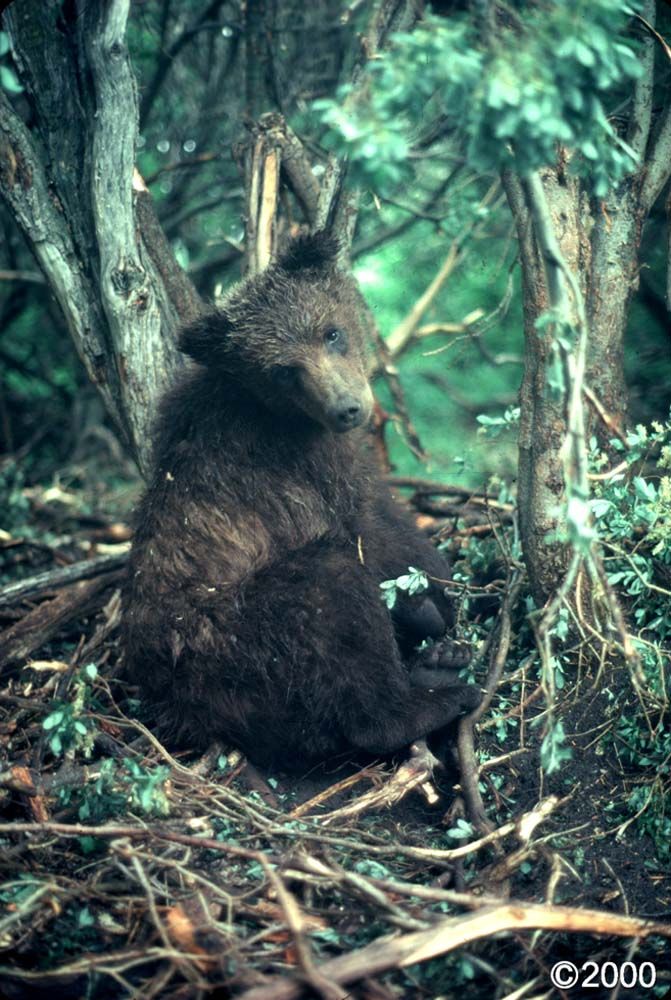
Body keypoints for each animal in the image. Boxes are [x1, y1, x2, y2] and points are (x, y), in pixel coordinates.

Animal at [121, 233, 480, 771]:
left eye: (330, 333)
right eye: (283, 370)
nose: (347, 408)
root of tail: (182, 710)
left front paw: (439, 626)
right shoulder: (306, 471)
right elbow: (378, 534)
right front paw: (437, 602)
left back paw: (434, 667)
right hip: (238, 640)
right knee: (333, 600)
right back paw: (438, 697)